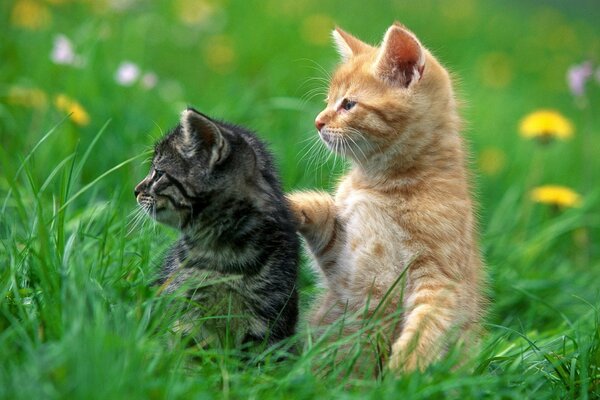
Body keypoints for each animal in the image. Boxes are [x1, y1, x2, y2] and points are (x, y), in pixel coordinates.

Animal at [288, 21, 486, 372]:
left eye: (348, 104)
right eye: (327, 101)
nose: (318, 121)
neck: (382, 184)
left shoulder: (440, 276)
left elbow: (427, 323)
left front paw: (406, 367)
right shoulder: (340, 257)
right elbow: (320, 210)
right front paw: (283, 202)